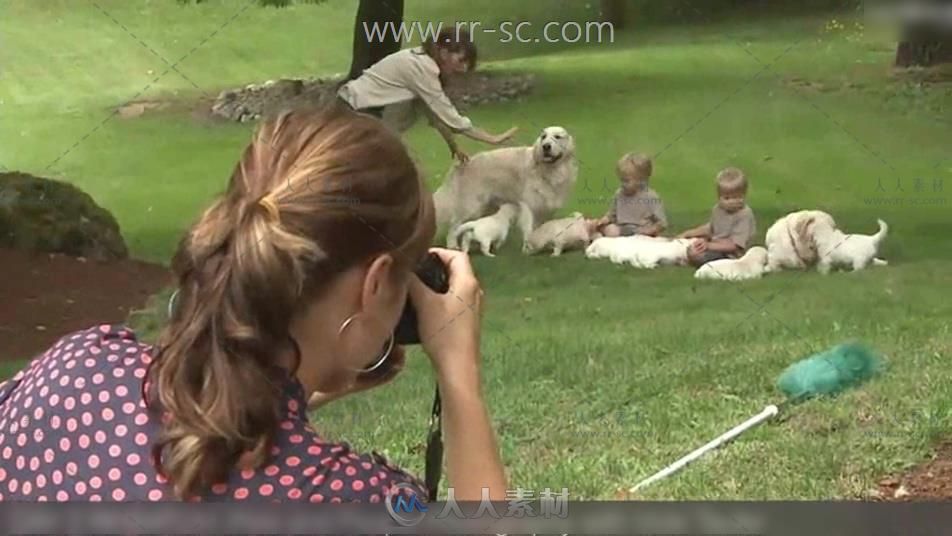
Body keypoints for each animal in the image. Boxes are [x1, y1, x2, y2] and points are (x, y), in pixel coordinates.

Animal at [434, 126, 580, 252]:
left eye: (557, 137)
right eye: (543, 137)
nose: (546, 146)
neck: (550, 170)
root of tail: (461, 163)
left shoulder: (545, 207)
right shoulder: (529, 205)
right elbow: (529, 230)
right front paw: (528, 248)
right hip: (472, 206)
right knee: (454, 225)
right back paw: (452, 245)